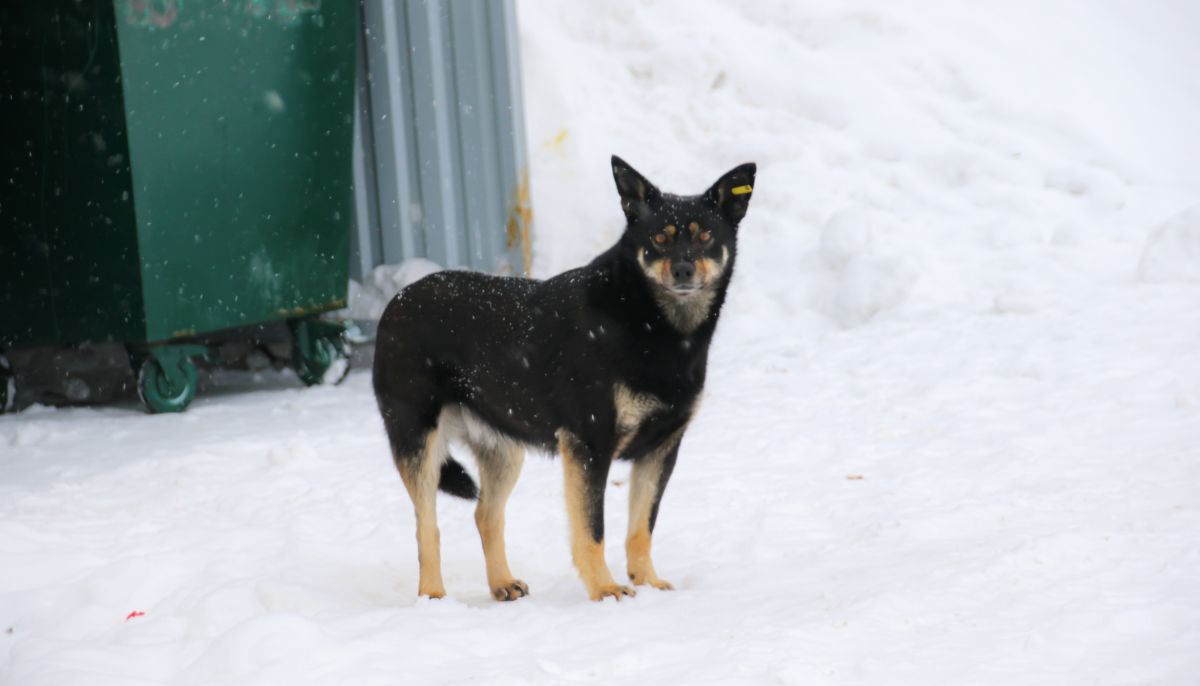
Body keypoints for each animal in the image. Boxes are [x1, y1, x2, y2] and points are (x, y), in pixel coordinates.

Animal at [369, 157, 753, 599]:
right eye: (659, 237)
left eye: (705, 235)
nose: (683, 269)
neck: (652, 323)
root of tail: (396, 302)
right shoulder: (589, 445)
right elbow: (592, 530)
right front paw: (605, 589)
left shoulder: (661, 451)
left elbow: (641, 529)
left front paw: (648, 582)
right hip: (418, 440)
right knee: (426, 526)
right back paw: (433, 595)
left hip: (503, 448)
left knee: (485, 514)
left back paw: (501, 584)